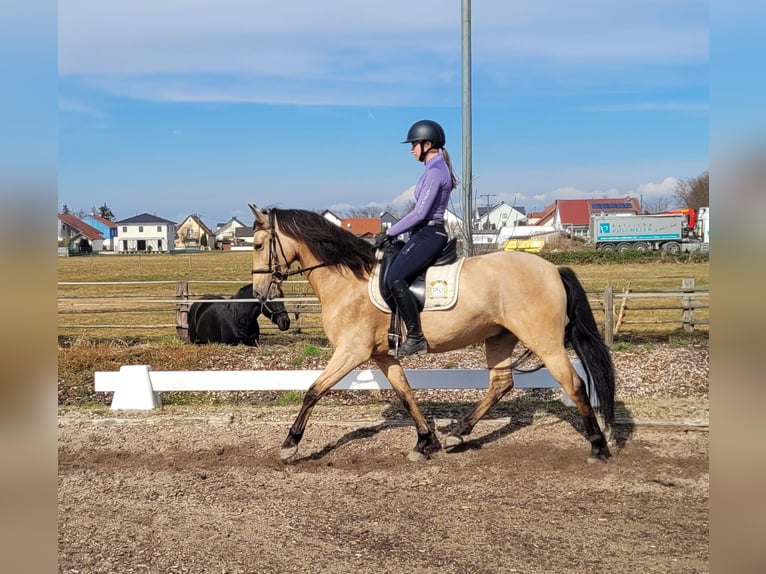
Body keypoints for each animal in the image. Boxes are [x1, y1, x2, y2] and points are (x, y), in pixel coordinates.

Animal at [252, 205, 616, 466]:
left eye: (257, 244)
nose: (259, 292)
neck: (348, 279)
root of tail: (553, 269)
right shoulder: (382, 354)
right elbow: (405, 393)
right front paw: (425, 441)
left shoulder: (352, 351)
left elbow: (314, 391)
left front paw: (290, 445)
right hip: (500, 337)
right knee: (500, 384)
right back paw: (458, 434)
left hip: (545, 341)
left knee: (574, 384)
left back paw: (598, 447)